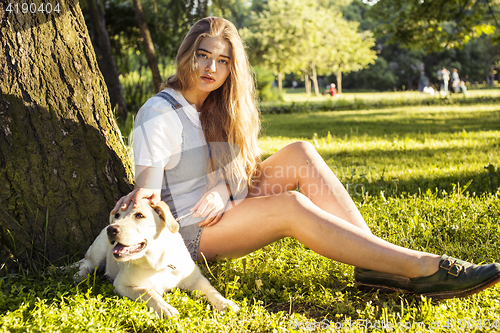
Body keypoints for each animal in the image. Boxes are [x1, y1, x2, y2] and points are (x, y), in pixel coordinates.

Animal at [73, 198, 239, 316]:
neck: (157, 262)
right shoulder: (121, 285)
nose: (111, 229)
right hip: (98, 250)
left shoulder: (196, 279)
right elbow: (148, 292)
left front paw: (226, 303)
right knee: (87, 262)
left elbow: (212, 290)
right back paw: (80, 275)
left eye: (139, 215)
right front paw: (166, 309)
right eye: (117, 215)